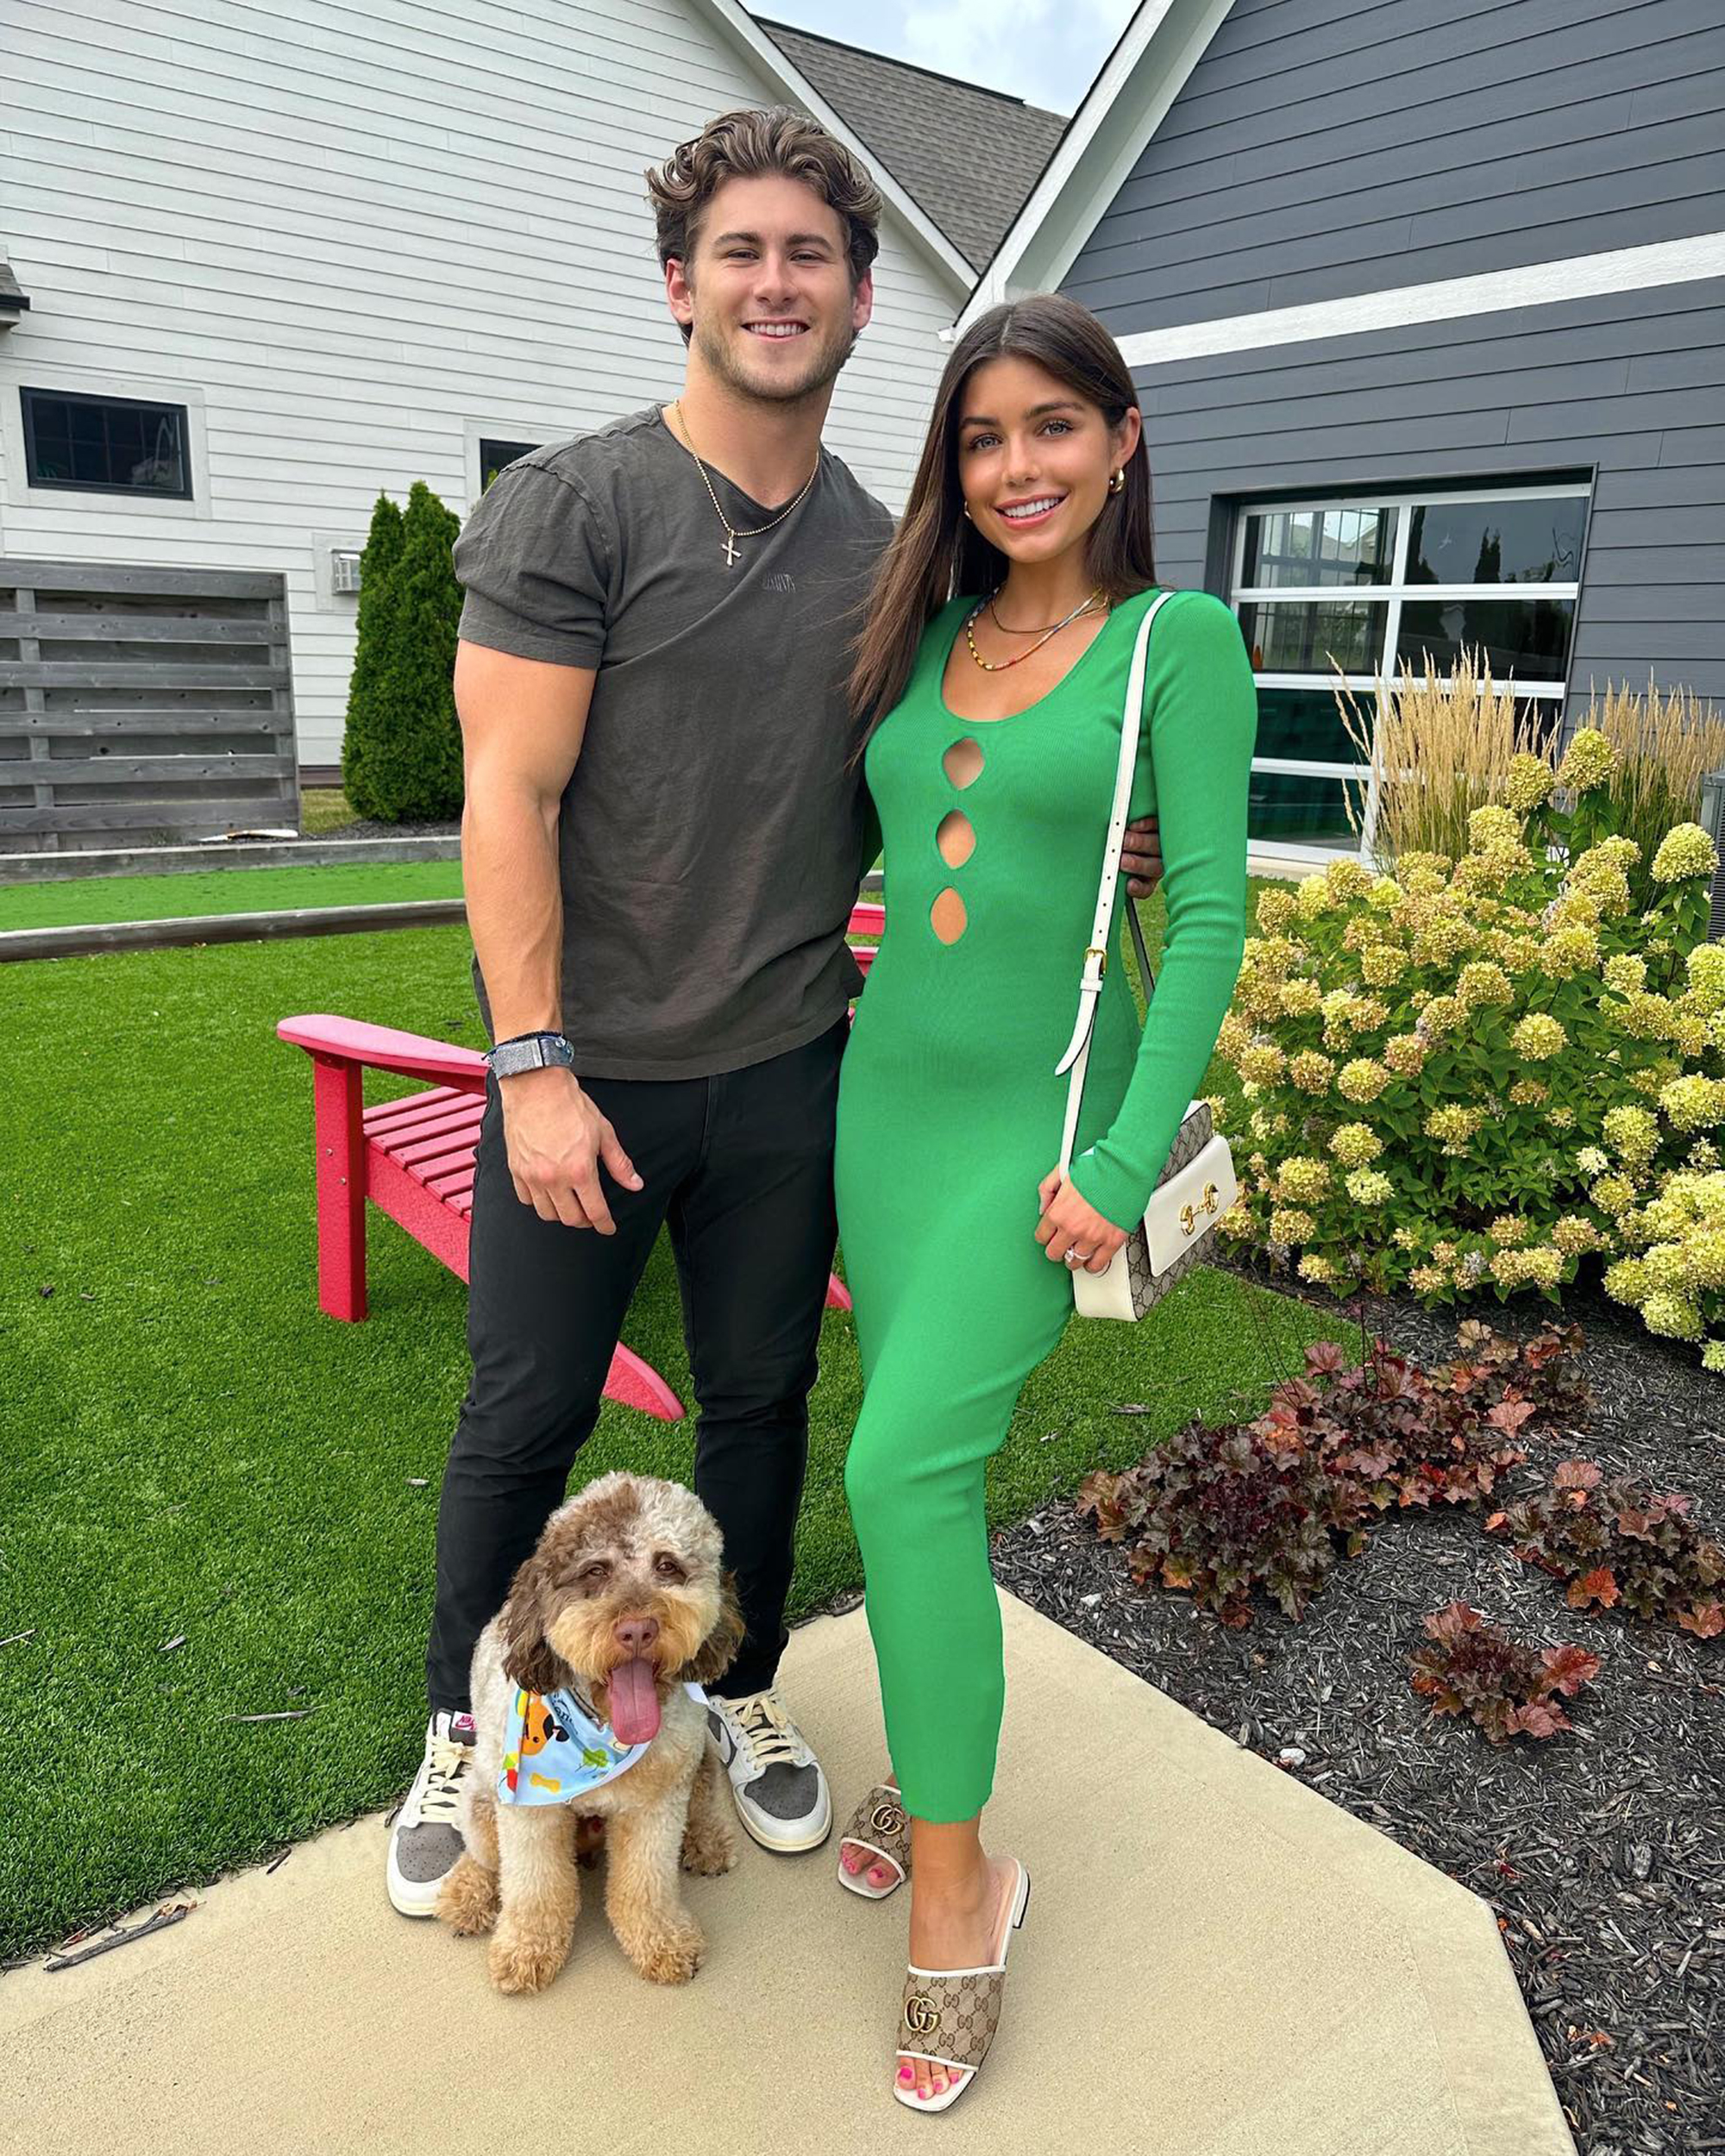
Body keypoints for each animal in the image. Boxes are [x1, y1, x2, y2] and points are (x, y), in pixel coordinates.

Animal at [437, 1475, 742, 1992]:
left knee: (702, 1805)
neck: (600, 1730)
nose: (638, 1630)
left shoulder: (656, 1805)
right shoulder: (530, 1815)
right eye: (595, 1571)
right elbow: (535, 1889)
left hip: (698, 1760)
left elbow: (645, 1884)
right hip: (482, 1800)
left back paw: (707, 1841)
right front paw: (525, 1950)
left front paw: (663, 1941)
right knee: (484, 1856)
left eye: (667, 1565)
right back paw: (467, 1892)